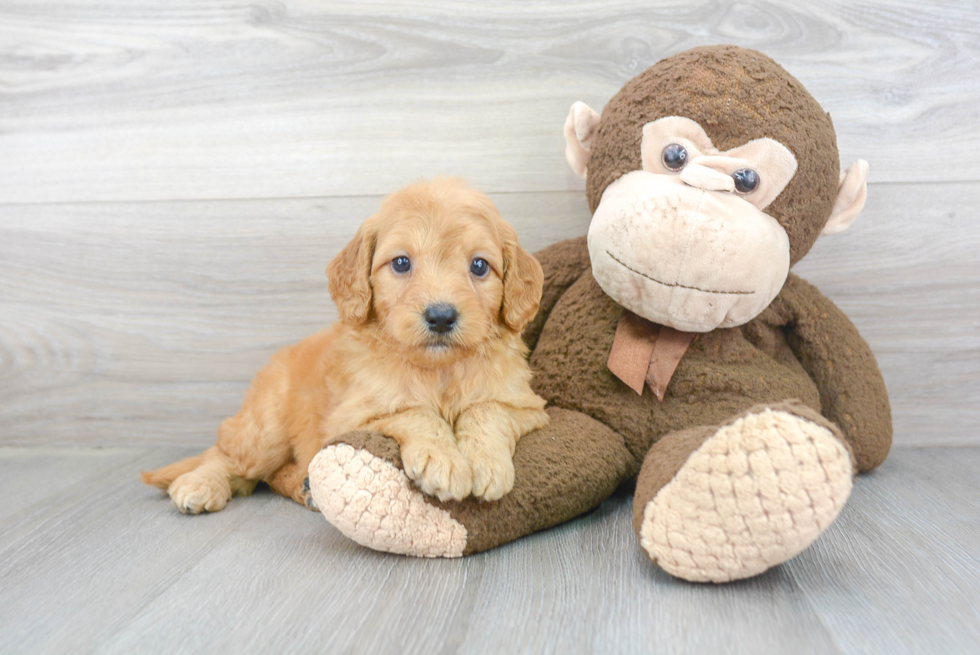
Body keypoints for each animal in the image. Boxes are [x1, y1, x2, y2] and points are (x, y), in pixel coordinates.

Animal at [142, 179, 552, 512]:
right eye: (401, 263)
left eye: (480, 266)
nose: (440, 316)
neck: (438, 371)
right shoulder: (354, 416)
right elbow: (414, 412)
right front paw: (444, 460)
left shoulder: (527, 407)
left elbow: (486, 409)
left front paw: (485, 462)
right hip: (264, 430)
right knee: (227, 455)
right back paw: (200, 484)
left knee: (270, 474)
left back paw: (305, 489)